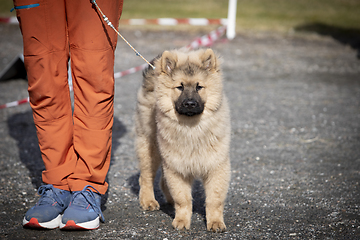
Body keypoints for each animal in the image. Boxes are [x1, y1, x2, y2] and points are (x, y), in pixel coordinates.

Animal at [134, 48, 231, 232]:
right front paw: (181, 220)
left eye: (199, 87)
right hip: (151, 148)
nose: (190, 103)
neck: (191, 127)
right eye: (180, 87)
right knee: (146, 177)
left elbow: (214, 199)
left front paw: (215, 222)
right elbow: (183, 198)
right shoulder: (176, 167)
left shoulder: (216, 166)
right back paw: (148, 201)